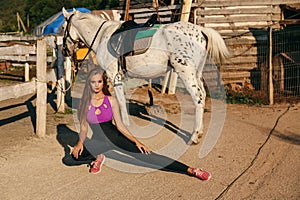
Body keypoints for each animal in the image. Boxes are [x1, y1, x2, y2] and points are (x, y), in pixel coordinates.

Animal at [62, 7, 229, 144]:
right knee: (202, 95)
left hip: (186, 72)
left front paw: (123, 126)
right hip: (196, 73)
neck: (103, 37)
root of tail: (200, 31)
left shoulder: (113, 75)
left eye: (63, 27)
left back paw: (194, 137)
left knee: (198, 98)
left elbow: (119, 101)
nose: (64, 51)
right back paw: (199, 132)